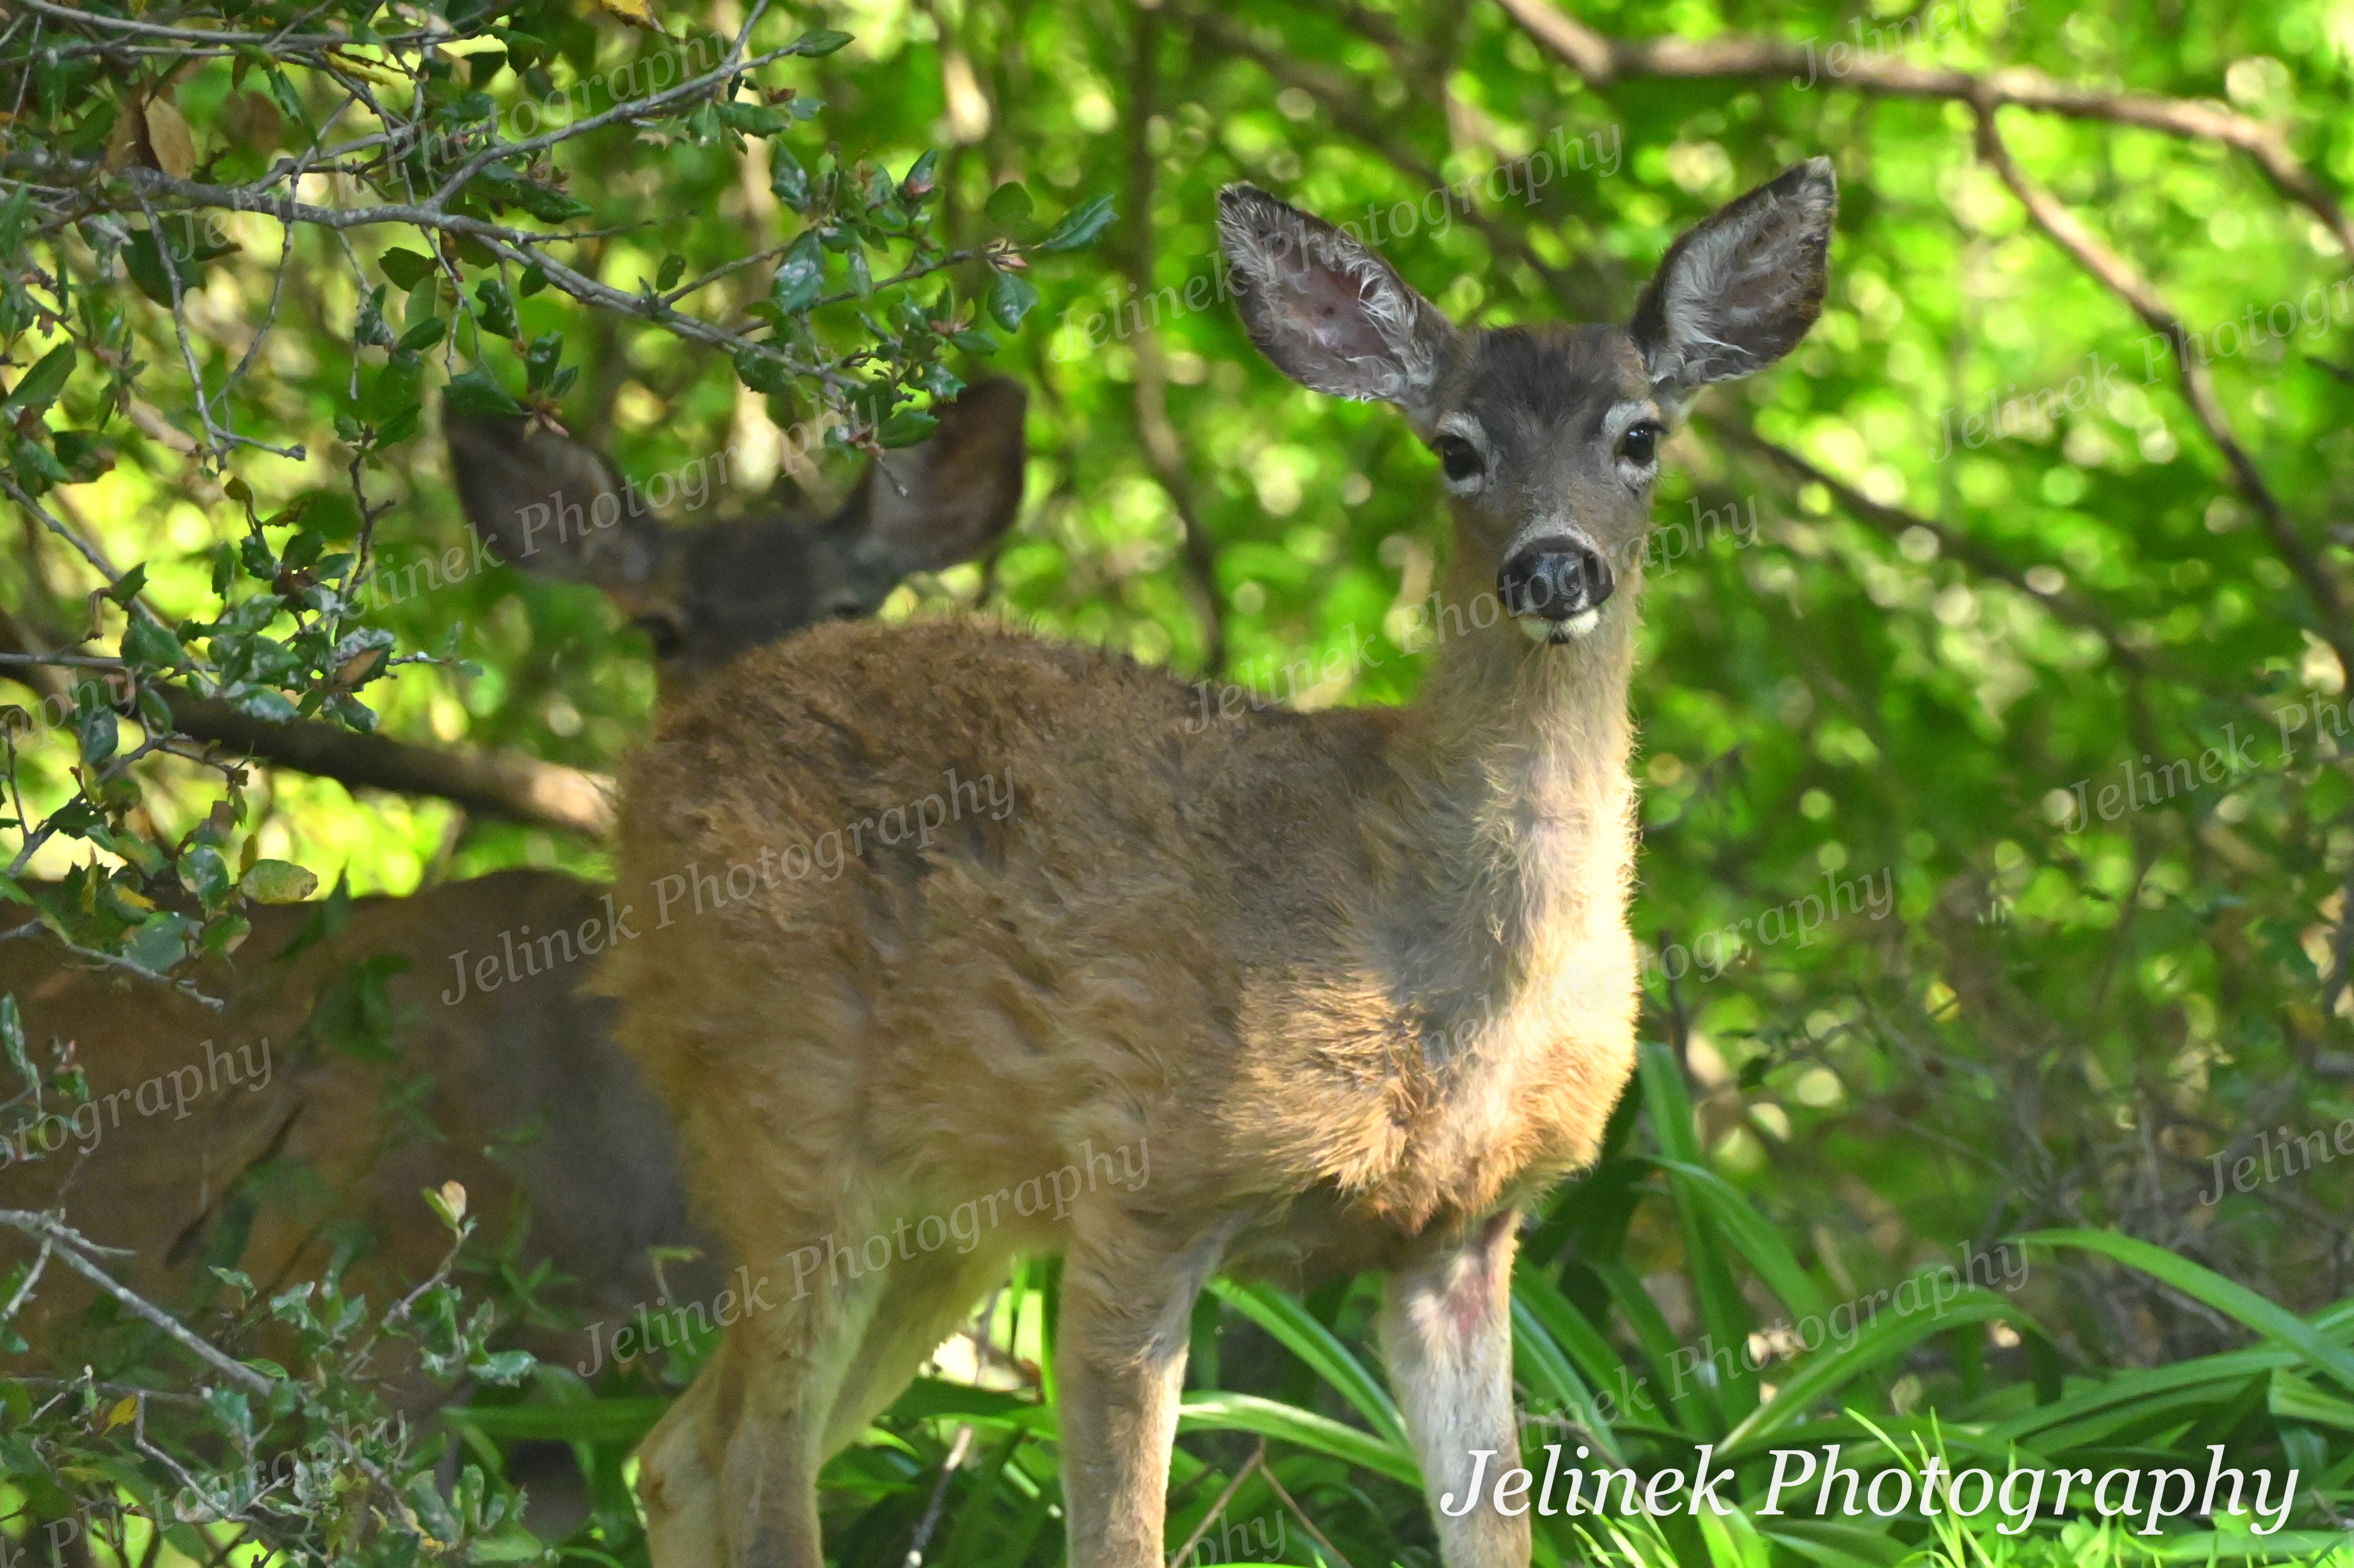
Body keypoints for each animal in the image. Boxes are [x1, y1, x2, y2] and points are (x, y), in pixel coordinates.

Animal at [604, 161, 1835, 1568]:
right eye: (1456, 448)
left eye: (1639, 435)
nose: (1552, 566)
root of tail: (641, 778)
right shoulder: (1148, 1182)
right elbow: (1117, 1538)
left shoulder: (1463, 1237)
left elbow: (1495, 1528)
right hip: (788, 1105)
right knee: (754, 1462)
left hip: (943, 1207)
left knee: (681, 1452)